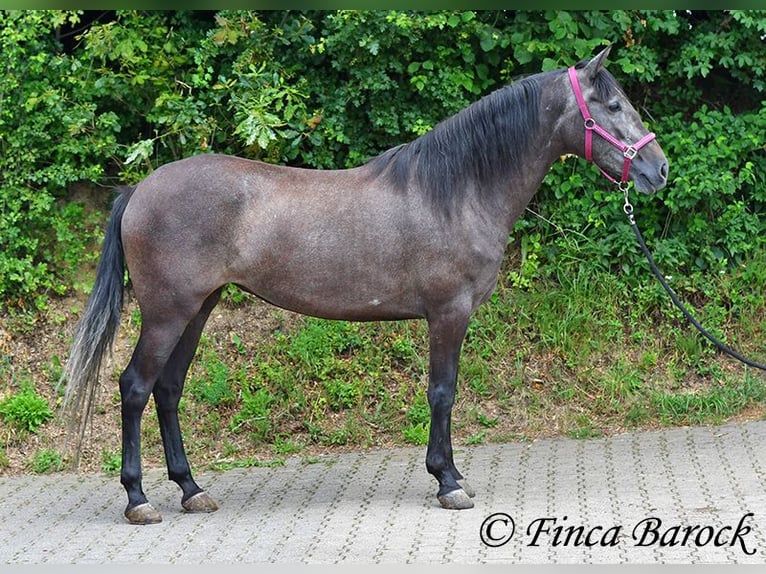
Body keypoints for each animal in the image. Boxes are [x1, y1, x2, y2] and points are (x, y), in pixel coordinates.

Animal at [63, 47, 668, 528]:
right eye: (613, 106)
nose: (658, 170)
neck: (457, 190)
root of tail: (140, 189)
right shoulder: (449, 313)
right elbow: (443, 392)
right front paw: (448, 481)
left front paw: (451, 475)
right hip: (168, 313)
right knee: (135, 388)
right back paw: (139, 499)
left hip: (198, 309)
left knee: (167, 390)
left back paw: (192, 490)